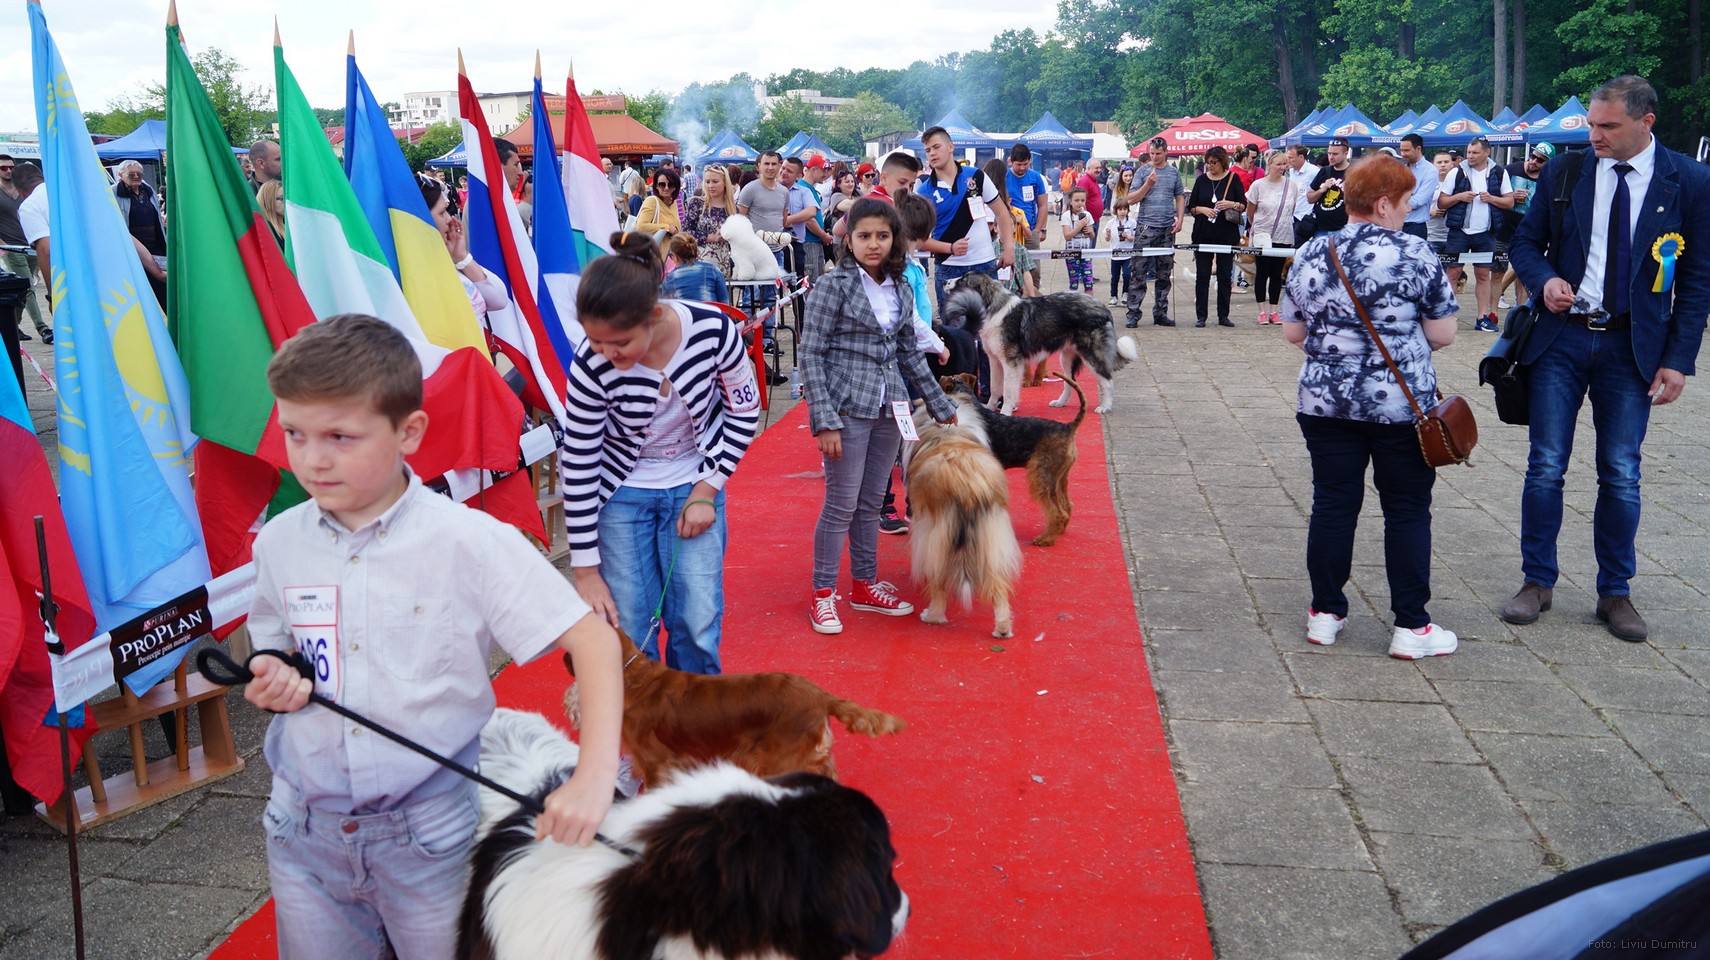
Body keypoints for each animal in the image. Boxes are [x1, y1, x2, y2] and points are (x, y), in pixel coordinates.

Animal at [903, 404, 1022, 637]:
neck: (947, 434)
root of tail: (968, 486)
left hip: (935, 538)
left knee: (939, 582)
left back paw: (932, 616)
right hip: (992, 537)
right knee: (997, 585)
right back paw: (1003, 628)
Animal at [939, 371, 1083, 546]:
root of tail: (1067, 427)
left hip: (1043, 477)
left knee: (1058, 511)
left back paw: (1045, 538)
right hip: (1060, 478)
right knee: (1067, 505)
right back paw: (1058, 531)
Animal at [942, 271, 1127, 416]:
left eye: (963, 280)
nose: (944, 282)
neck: (991, 308)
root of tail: (1102, 307)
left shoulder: (1011, 362)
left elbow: (1007, 391)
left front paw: (1006, 412)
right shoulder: (995, 361)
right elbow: (995, 388)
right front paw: (989, 408)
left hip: (1091, 355)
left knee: (1107, 380)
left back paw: (1105, 407)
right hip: (1066, 357)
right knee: (1070, 382)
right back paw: (1060, 402)